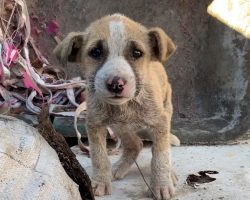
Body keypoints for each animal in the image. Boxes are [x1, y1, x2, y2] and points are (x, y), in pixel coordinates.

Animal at [55, 13, 178, 199]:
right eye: (95, 52)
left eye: (137, 53)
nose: (116, 84)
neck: (126, 106)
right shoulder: (94, 124)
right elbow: (99, 156)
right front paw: (99, 182)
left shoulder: (160, 123)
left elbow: (161, 155)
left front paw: (162, 184)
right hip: (119, 127)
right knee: (136, 144)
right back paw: (119, 167)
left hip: (165, 108)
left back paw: (170, 174)